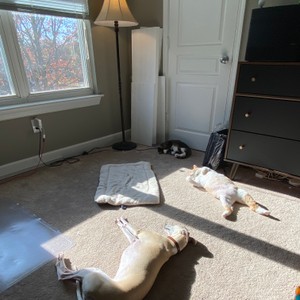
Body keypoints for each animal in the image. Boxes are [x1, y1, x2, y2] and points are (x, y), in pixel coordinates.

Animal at [55, 218, 191, 300]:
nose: (166, 223)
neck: (172, 244)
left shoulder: (139, 232)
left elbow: (130, 226)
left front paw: (122, 221)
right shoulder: (134, 240)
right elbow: (127, 232)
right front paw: (121, 222)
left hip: (93, 273)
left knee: (63, 275)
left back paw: (60, 260)